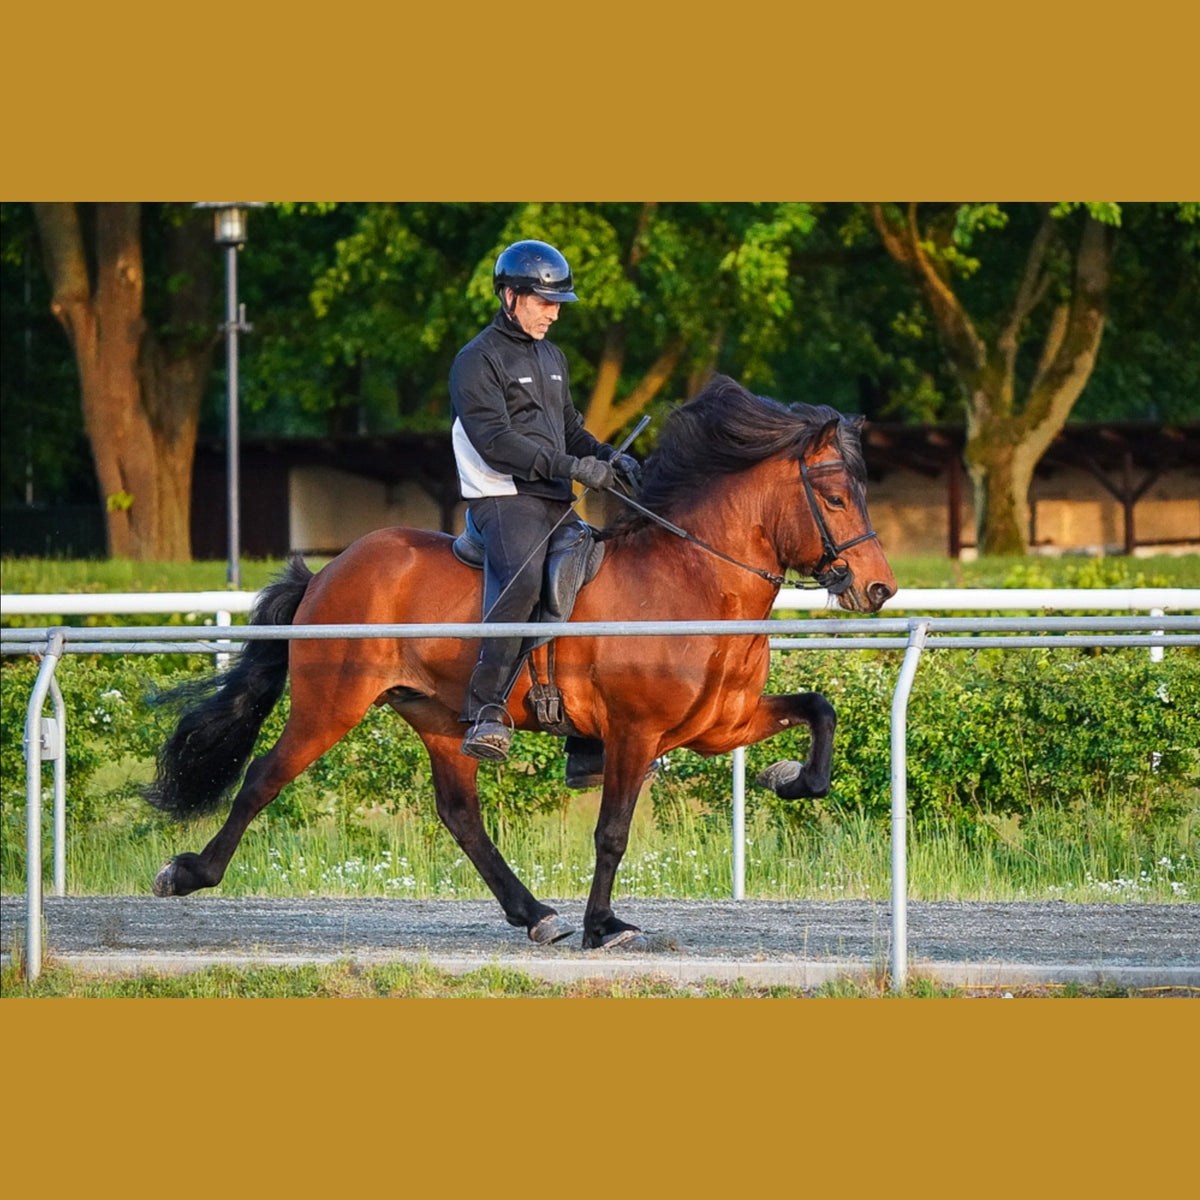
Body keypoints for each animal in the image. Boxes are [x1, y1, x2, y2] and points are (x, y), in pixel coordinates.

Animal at [145, 374, 897, 945]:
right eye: (836, 496)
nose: (879, 589)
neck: (691, 584)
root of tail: (334, 567)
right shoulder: (634, 733)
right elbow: (612, 833)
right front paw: (604, 926)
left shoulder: (723, 725)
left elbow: (820, 713)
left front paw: (787, 777)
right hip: (330, 705)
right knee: (263, 778)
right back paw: (187, 872)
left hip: (441, 717)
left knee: (459, 814)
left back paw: (533, 912)